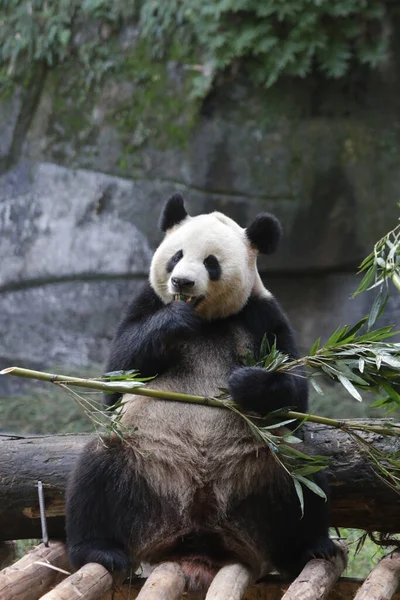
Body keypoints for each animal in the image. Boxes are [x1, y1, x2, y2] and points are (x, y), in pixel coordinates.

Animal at [65, 196, 334, 592]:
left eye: (211, 262)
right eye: (176, 255)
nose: (182, 281)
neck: (205, 320)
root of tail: (198, 537)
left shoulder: (261, 313)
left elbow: (294, 394)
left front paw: (246, 383)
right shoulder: (147, 301)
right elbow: (118, 371)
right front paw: (174, 321)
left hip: (264, 472)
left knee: (303, 480)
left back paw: (312, 549)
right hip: (141, 459)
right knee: (96, 474)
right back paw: (100, 550)